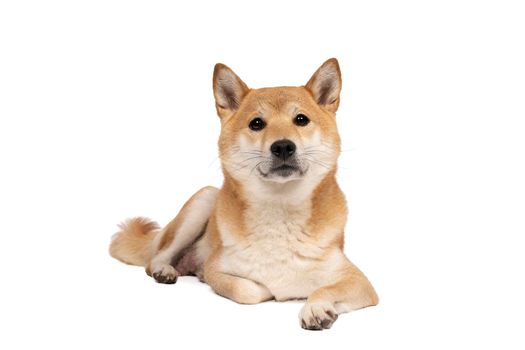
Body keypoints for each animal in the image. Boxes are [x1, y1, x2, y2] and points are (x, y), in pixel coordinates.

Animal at [109, 58, 376, 330]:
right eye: (256, 123)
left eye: (301, 119)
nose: (283, 146)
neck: (280, 211)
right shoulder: (218, 268)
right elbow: (250, 290)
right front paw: (270, 290)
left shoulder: (358, 281)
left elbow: (324, 289)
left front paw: (316, 308)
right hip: (204, 200)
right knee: (156, 258)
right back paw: (165, 270)